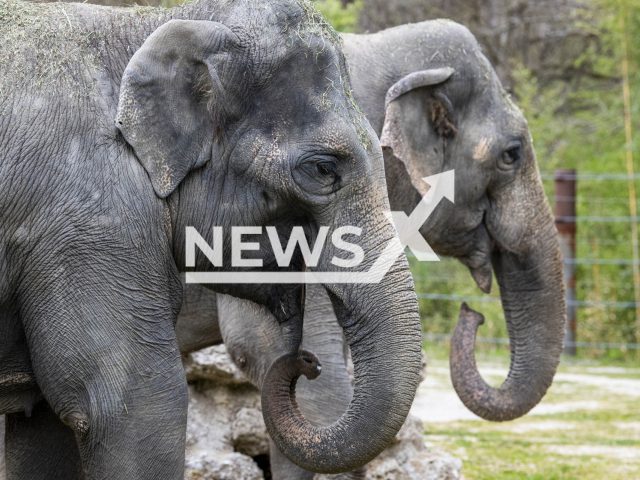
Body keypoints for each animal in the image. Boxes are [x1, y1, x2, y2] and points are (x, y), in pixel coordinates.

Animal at [0, 1, 424, 478]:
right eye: (324, 168)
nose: (306, 362)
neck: (142, 26)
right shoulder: (91, 222)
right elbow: (136, 407)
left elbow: (45, 431)